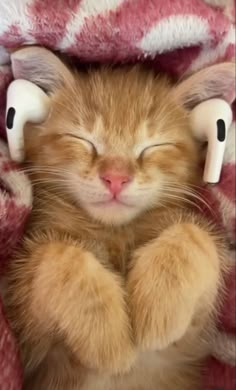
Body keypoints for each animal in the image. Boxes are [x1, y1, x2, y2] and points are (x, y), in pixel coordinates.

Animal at [4, 48, 235, 390]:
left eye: (153, 147)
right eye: (83, 140)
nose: (116, 178)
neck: (114, 233)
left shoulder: (192, 339)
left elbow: (194, 234)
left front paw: (160, 310)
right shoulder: (29, 341)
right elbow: (55, 253)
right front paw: (108, 340)